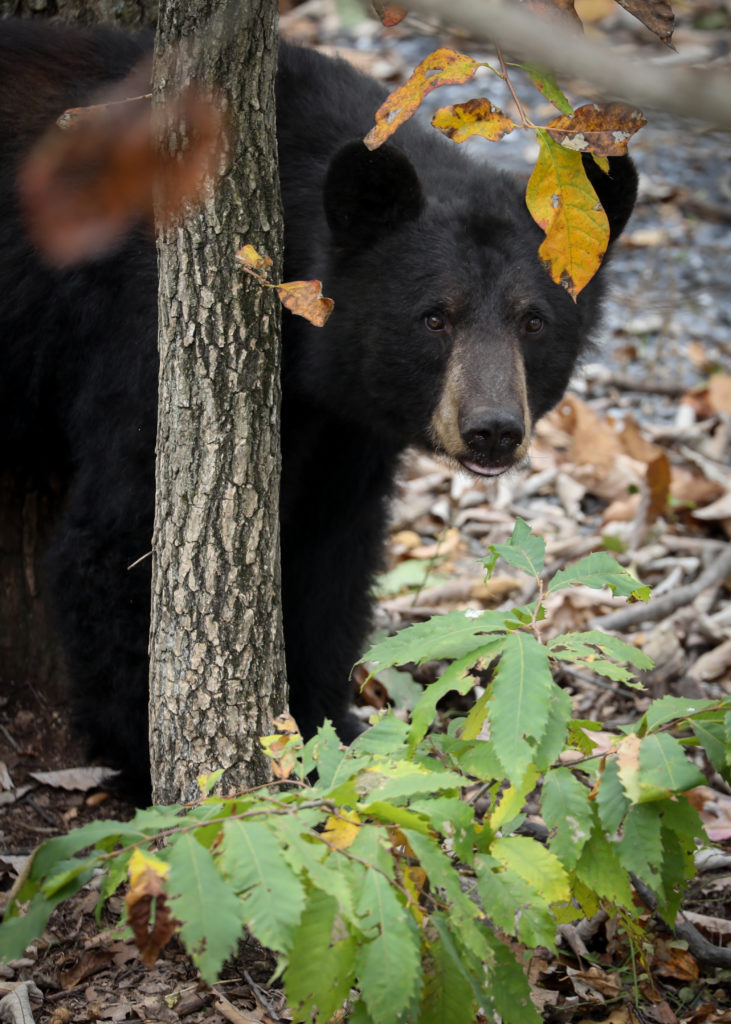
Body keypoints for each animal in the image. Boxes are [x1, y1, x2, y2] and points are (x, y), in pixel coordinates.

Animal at [0, 19, 637, 803]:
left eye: (533, 322)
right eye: (433, 317)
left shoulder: (347, 421)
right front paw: (160, 769)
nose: (492, 430)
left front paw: (331, 729)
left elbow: (332, 554)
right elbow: (118, 542)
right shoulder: (143, 338)